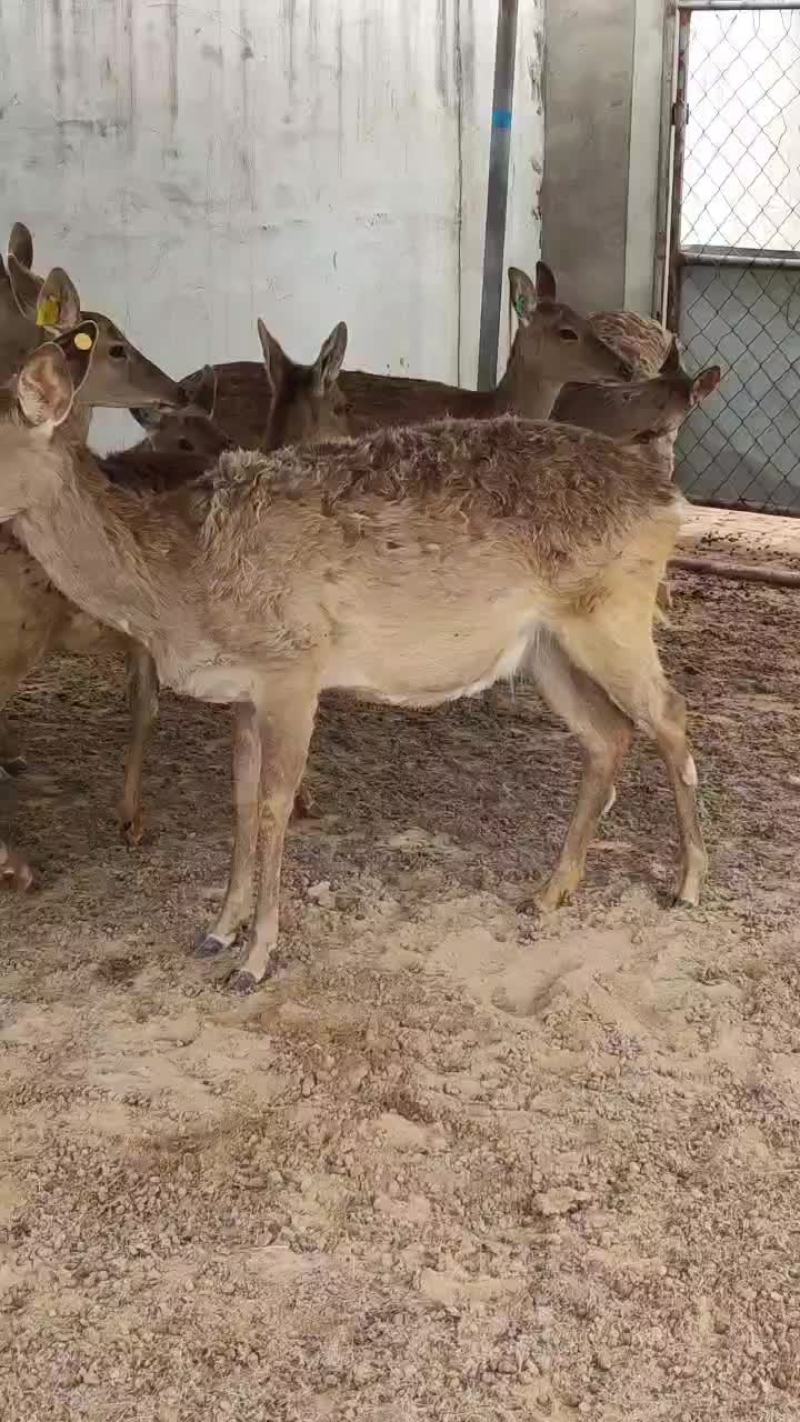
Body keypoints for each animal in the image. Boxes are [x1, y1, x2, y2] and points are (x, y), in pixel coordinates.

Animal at [0, 329, 707, 993]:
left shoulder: (294, 665)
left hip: (613, 612)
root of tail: (670, 499)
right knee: (608, 734)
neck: (180, 583)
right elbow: (241, 801)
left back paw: (688, 884)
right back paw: (552, 890)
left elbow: (274, 807)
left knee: (671, 715)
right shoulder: (243, 692)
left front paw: (254, 960)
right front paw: (217, 931)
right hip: (544, 646)